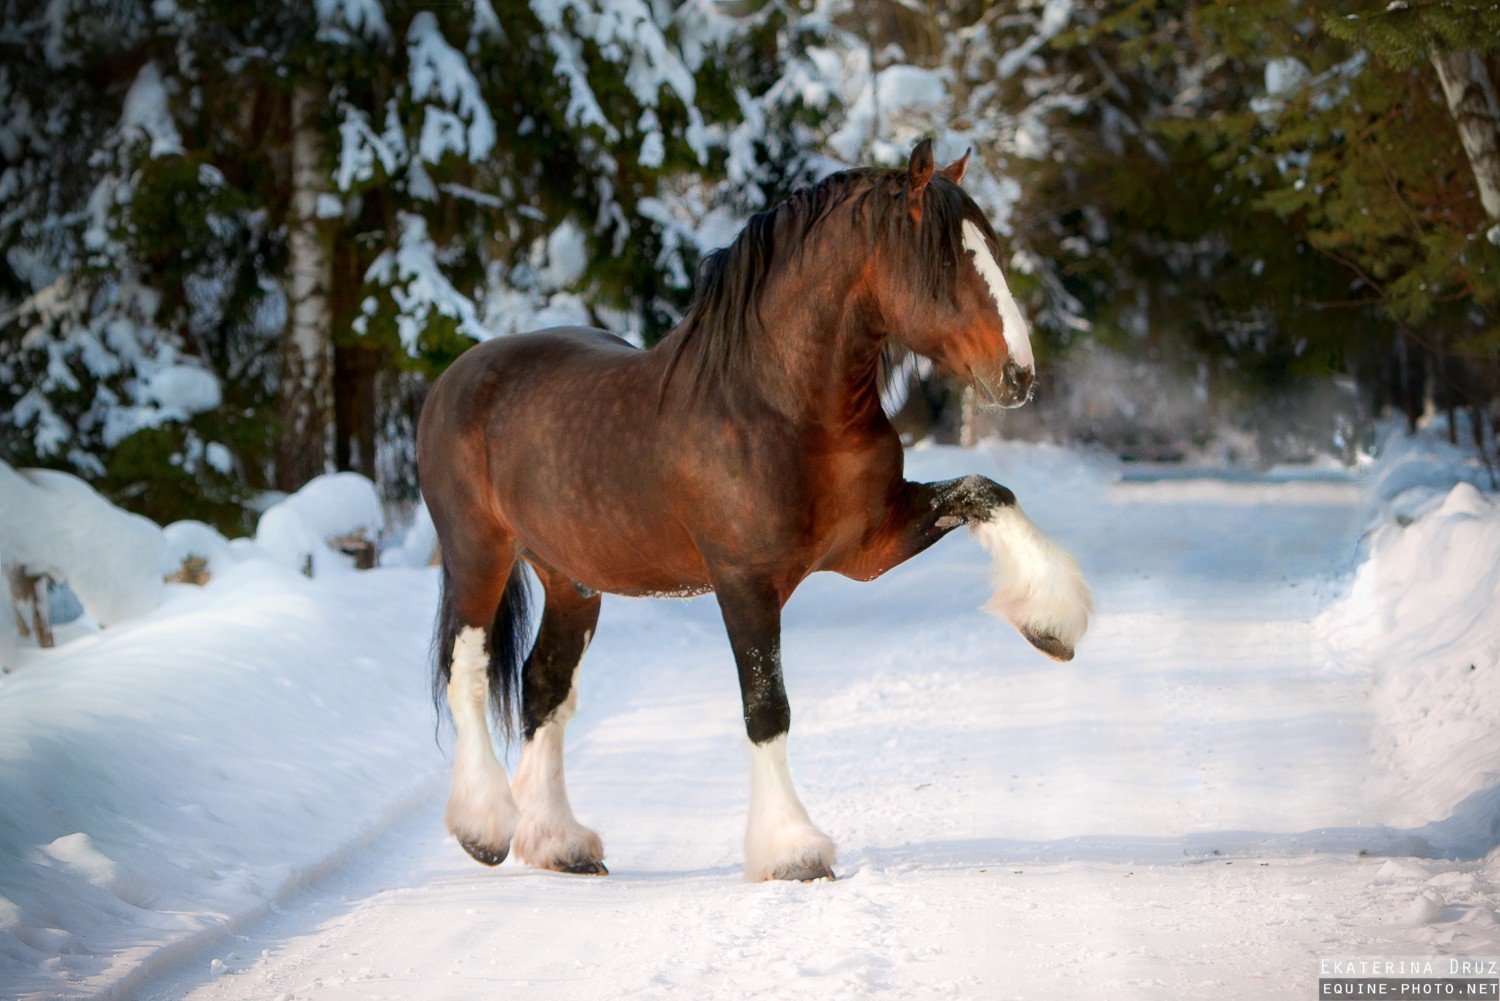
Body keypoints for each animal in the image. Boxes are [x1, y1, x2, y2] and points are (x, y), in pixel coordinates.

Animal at [417, 137, 1098, 882]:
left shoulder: (871, 545)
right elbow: (766, 706)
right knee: (468, 672)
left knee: (544, 686)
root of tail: (455, 377)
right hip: (479, 552)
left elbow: (986, 492)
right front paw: (793, 849)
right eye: (944, 258)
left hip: (571, 580)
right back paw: (485, 827)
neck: (779, 404)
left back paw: (558, 842)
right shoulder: (743, 581)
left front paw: (1051, 620)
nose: (1018, 375)